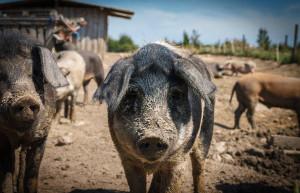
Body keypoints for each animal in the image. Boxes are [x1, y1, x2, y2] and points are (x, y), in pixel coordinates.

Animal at [0, 30, 68, 192]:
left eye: (35, 74)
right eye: (0, 75)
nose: (25, 99)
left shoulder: (41, 136)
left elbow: (31, 175)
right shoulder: (2, 138)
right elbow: (6, 174)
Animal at [94, 42, 216, 193]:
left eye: (176, 94)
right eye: (131, 93)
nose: (152, 137)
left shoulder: (179, 160)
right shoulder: (126, 158)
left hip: (207, 131)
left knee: (199, 165)